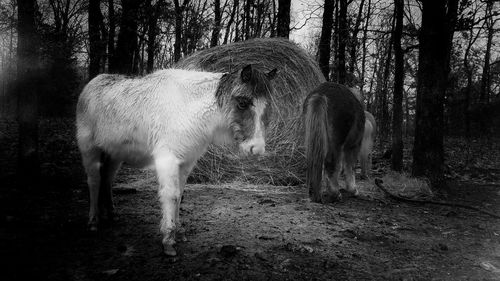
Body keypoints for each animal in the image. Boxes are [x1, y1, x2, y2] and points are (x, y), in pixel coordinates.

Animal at [77, 64, 278, 255]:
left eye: (266, 106)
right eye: (243, 103)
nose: (257, 148)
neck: (187, 109)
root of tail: (90, 84)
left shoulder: (187, 162)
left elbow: (180, 195)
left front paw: (179, 232)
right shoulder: (168, 161)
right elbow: (171, 195)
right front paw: (168, 240)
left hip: (115, 155)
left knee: (107, 180)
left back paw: (111, 215)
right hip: (90, 150)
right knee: (94, 181)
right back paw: (93, 222)